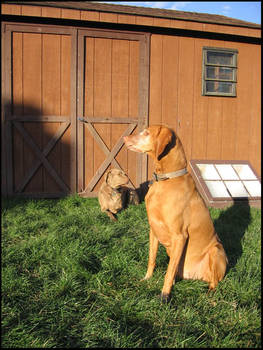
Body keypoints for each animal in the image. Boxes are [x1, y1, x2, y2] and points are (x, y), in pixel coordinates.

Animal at [124, 126, 229, 304]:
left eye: (146, 133)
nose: (124, 138)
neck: (166, 180)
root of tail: (196, 276)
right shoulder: (153, 230)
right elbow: (151, 258)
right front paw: (146, 279)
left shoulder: (180, 236)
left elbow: (168, 272)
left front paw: (164, 296)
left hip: (216, 250)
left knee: (214, 283)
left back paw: (209, 297)